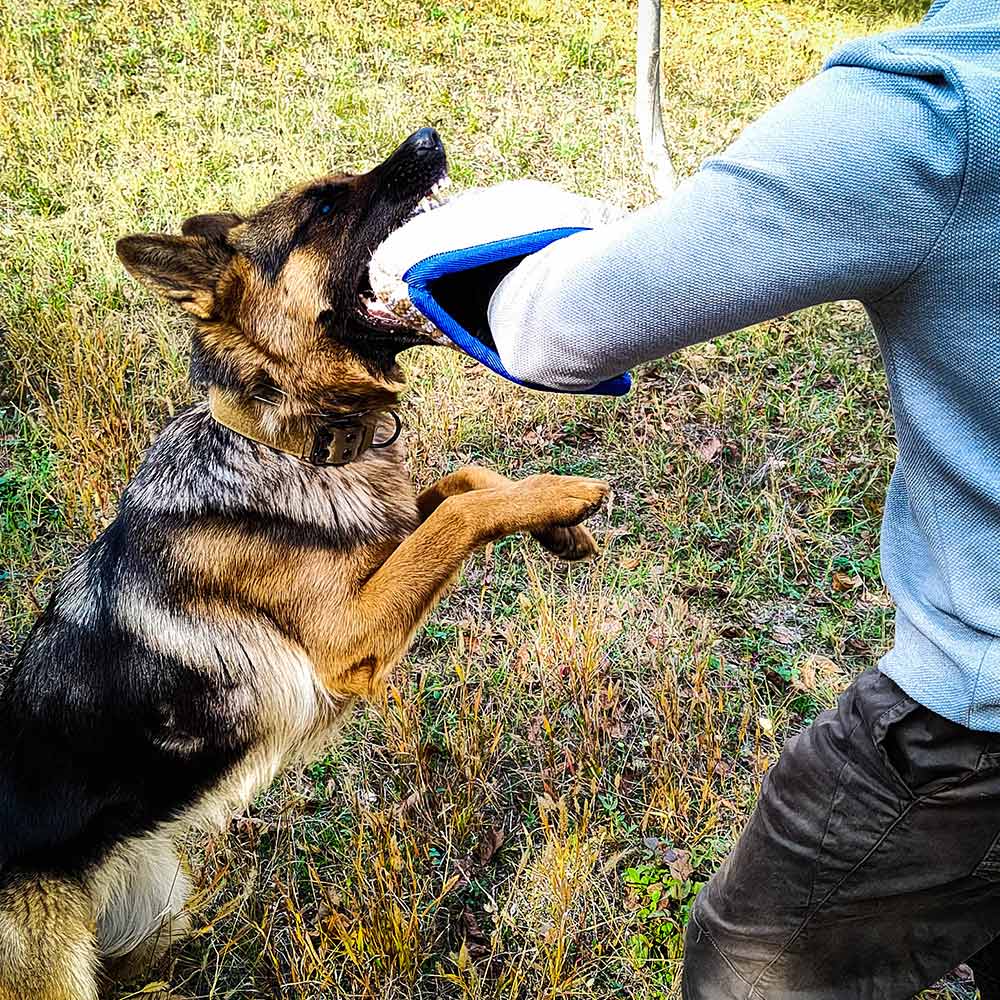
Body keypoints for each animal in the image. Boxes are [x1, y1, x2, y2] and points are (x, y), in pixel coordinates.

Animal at [1, 131, 608, 1000]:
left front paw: (558, 528)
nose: (429, 138)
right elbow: (454, 515)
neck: (283, 441)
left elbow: (460, 485)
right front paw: (562, 495)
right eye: (322, 206)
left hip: (155, 911)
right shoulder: (350, 634)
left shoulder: (386, 535)